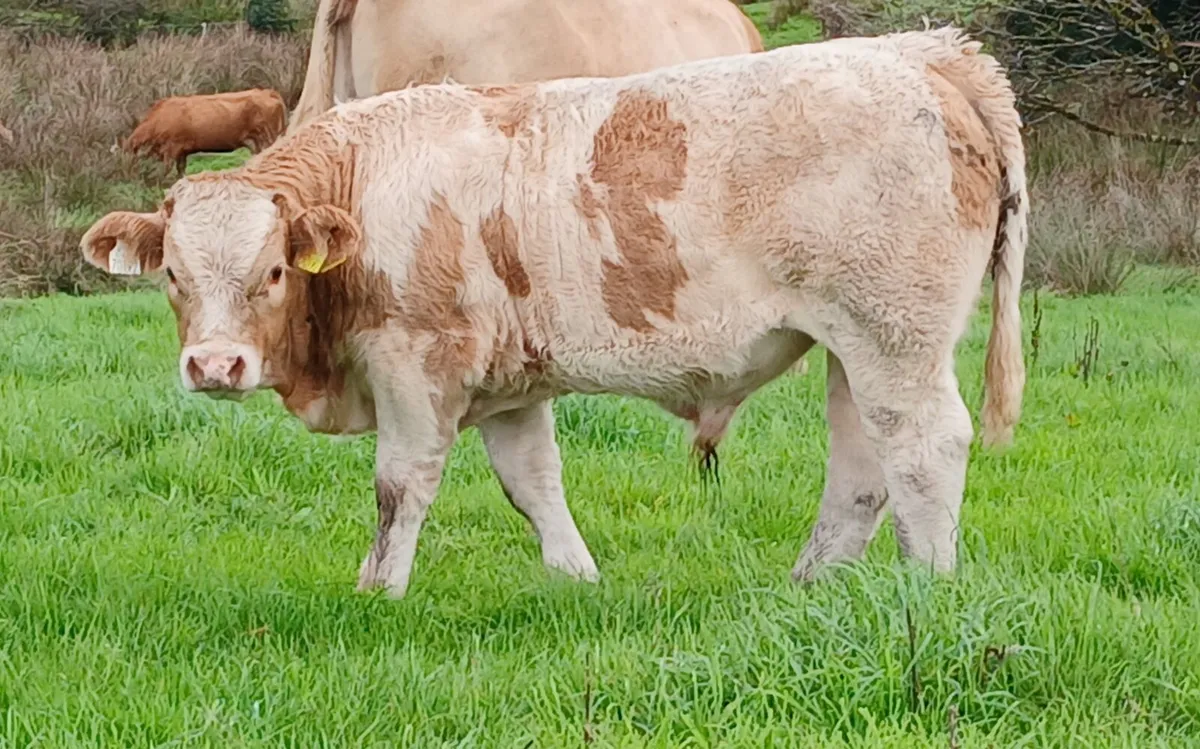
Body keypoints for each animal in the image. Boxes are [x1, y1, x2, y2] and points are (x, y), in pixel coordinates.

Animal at [115, 89, 287, 175]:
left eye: (128, 155)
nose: (125, 173)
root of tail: (266, 91)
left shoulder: (171, 149)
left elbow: (165, 172)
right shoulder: (182, 152)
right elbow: (181, 171)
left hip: (268, 137)